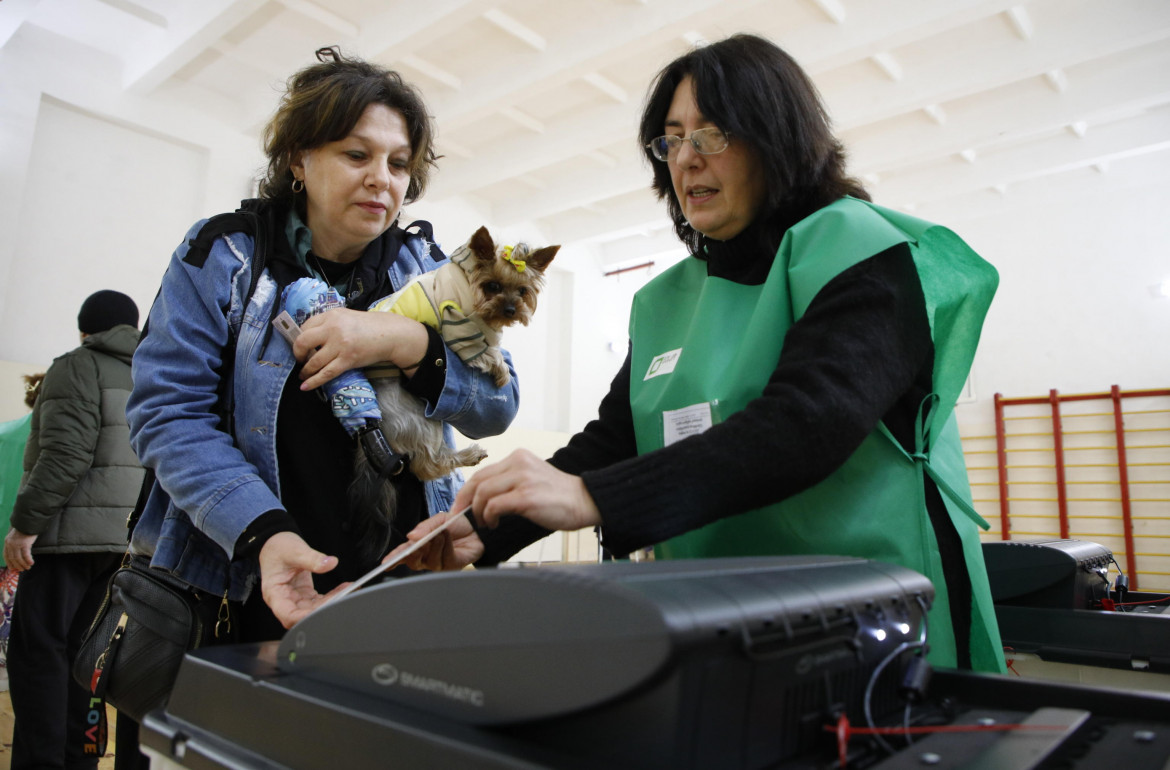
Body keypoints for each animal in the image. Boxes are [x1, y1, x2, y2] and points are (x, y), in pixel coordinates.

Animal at [348, 222, 559, 519]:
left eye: (522, 291)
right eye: (492, 286)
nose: (509, 310)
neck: (469, 282)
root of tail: (370, 422)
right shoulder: (457, 325)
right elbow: (486, 352)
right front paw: (501, 372)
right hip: (420, 420)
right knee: (427, 466)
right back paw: (469, 455)